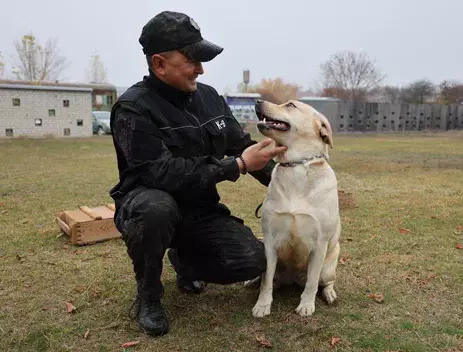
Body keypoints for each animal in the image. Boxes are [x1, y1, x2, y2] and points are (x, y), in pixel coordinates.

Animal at [252, 99, 342, 320]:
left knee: (325, 282)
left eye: (290, 105)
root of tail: (292, 279)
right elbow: (267, 280)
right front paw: (262, 304)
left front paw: (306, 305)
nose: (258, 101)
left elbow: (312, 282)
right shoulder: (268, 241)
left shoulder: (319, 244)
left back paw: (329, 294)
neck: (296, 166)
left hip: (330, 264)